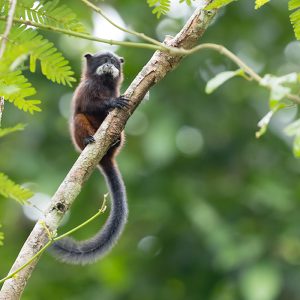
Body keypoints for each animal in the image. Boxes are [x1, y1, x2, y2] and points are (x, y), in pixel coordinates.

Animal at [51, 51, 129, 264]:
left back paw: (115, 141)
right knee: (79, 118)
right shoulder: (87, 89)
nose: (109, 62)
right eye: (103, 59)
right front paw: (112, 103)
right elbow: (89, 105)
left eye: (114, 60)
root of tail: (104, 157)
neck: (104, 83)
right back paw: (88, 140)